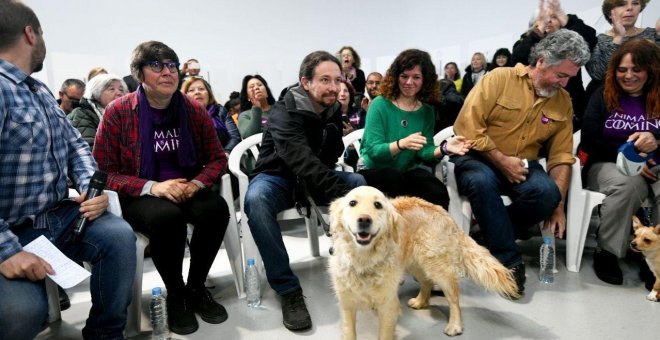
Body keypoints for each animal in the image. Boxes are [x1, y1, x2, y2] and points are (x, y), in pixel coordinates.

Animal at [328, 187, 520, 338]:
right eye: (352, 203)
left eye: (378, 205)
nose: (364, 220)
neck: (363, 259)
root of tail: (446, 214)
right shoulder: (346, 305)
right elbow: (349, 332)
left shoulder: (388, 305)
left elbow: (384, 333)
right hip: (416, 264)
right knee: (426, 282)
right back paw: (421, 302)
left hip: (438, 268)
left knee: (454, 298)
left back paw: (455, 325)